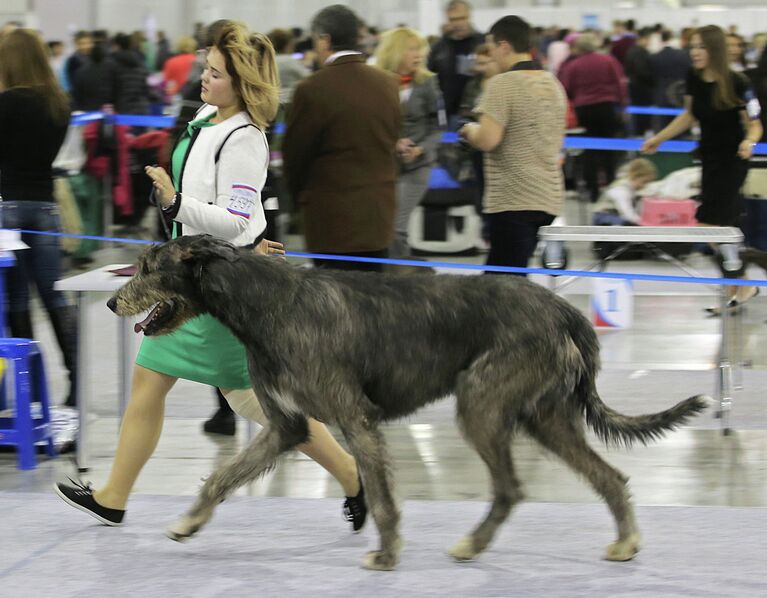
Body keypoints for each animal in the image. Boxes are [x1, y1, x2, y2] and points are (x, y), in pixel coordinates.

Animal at [108, 236, 708, 572]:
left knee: (512, 487)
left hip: (483, 405)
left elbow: (384, 497)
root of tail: (563, 309)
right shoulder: (286, 426)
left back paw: (475, 543)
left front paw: (387, 554)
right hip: (545, 416)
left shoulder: (356, 418)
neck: (266, 302)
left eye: (148, 265)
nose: (113, 301)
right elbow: (223, 476)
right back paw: (624, 541)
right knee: (608, 476)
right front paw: (189, 522)